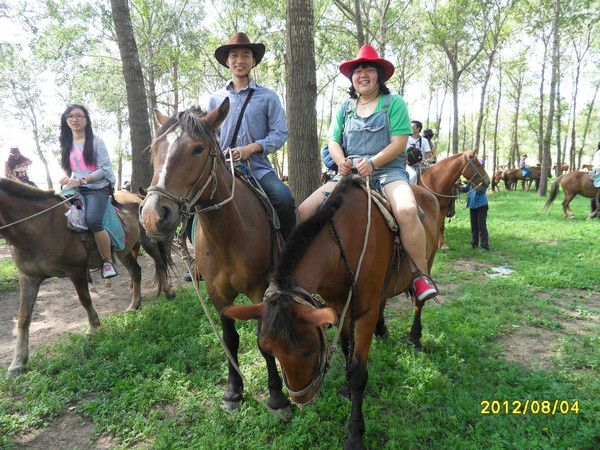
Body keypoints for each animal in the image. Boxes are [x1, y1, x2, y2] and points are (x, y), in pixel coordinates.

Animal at [1, 179, 176, 376]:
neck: (42, 228)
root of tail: (138, 197)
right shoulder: (28, 277)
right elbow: (23, 317)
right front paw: (18, 363)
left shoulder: (76, 270)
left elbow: (84, 299)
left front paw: (93, 327)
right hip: (124, 251)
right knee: (136, 271)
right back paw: (134, 305)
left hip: (148, 241)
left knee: (160, 264)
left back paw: (168, 292)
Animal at [139, 100, 292, 416]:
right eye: (155, 148)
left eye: (198, 149)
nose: (152, 215)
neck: (228, 232)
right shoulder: (217, 293)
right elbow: (230, 339)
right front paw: (233, 391)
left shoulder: (259, 289)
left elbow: (262, 340)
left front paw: (277, 396)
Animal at [223, 176, 438, 450]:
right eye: (269, 349)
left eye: (311, 349)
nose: (301, 399)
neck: (341, 244)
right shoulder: (338, 307)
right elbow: (346, 349)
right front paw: (346, 388)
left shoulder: (365, 314)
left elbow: (359, 372)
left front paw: (355, 434)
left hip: (427, 261)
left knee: (418, 303)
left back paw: (415, 336)